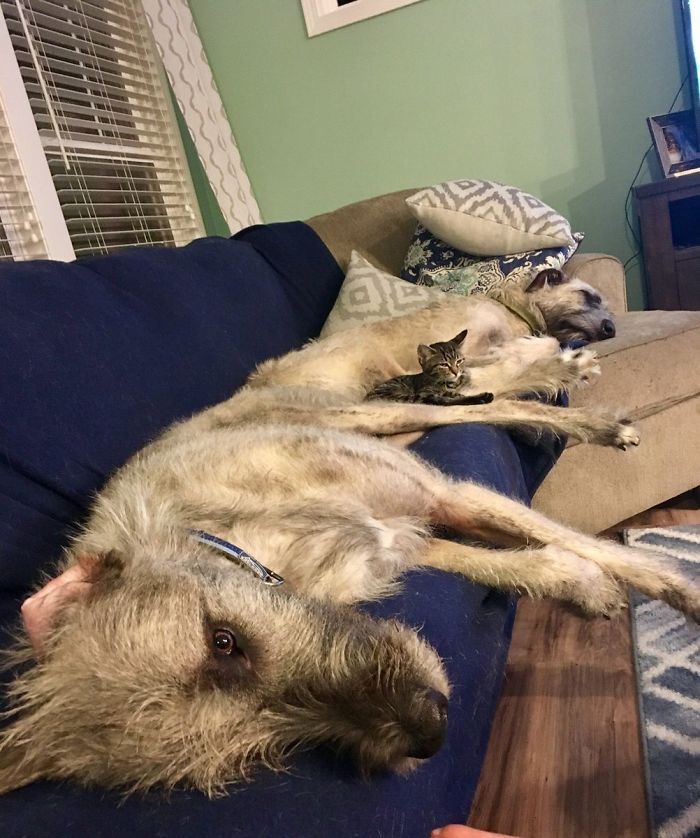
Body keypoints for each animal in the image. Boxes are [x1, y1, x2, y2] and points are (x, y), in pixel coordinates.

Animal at [1, 270, 700, 800]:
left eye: (222, 640)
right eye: (256, 748)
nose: (429, 733)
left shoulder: (439, 493)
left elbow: (582, 539)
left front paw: (676, 588)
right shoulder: (412, 537)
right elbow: (516, 561)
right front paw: (579, 584)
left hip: (372, 414)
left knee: (489, 405)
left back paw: (587, 411)